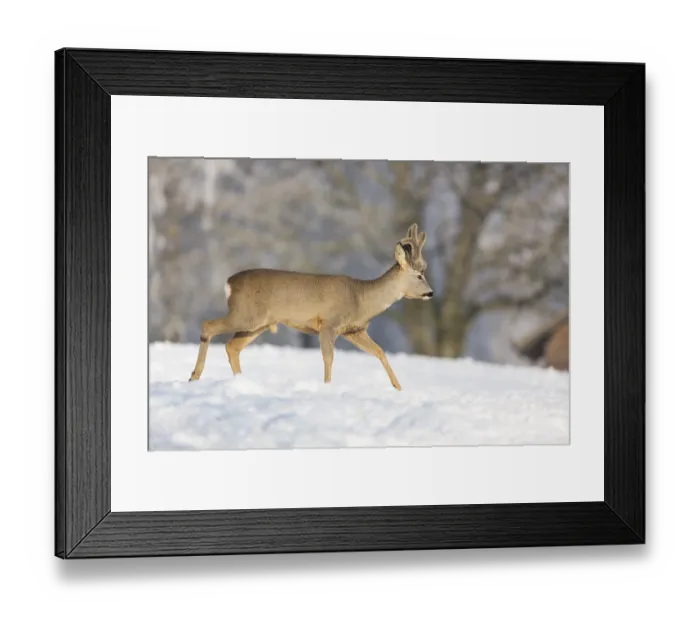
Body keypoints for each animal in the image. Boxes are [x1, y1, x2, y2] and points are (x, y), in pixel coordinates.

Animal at [188, 223, 433, 391]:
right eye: (419, 275)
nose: (431, 293)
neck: (361, 298)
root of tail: (229, 283)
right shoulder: (328, 324)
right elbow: (328, 357)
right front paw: (327, 386)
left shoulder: (354, 330)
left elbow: (380, 352)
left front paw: (398, 388)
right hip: (246, 315)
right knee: (208, 326)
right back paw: (194, 376)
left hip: (258, 323)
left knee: (232, 347)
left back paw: (240, 381)